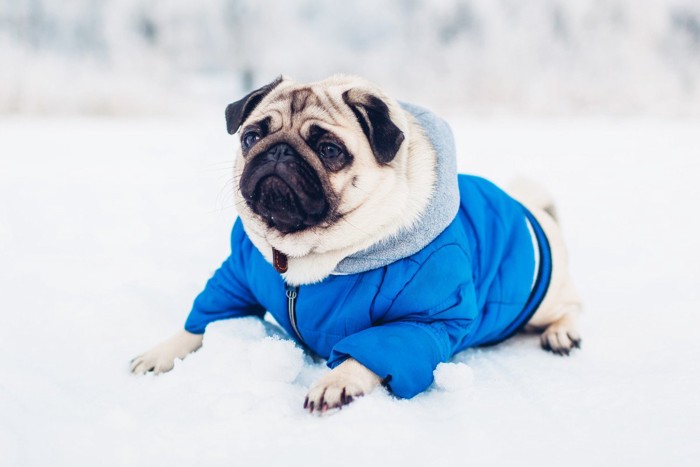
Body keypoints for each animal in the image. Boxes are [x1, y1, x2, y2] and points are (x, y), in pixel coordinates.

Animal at [130, 77, 580, 416]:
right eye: (251, 136)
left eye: (330, 150)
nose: (278, 151)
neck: (302, 254)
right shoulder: (236, 276)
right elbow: (203, 320)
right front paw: (164, 352)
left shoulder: (420, 320)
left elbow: (368, 352)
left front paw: (337, 381)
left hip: (542, 299)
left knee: (571, 306)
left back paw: (562, 334)